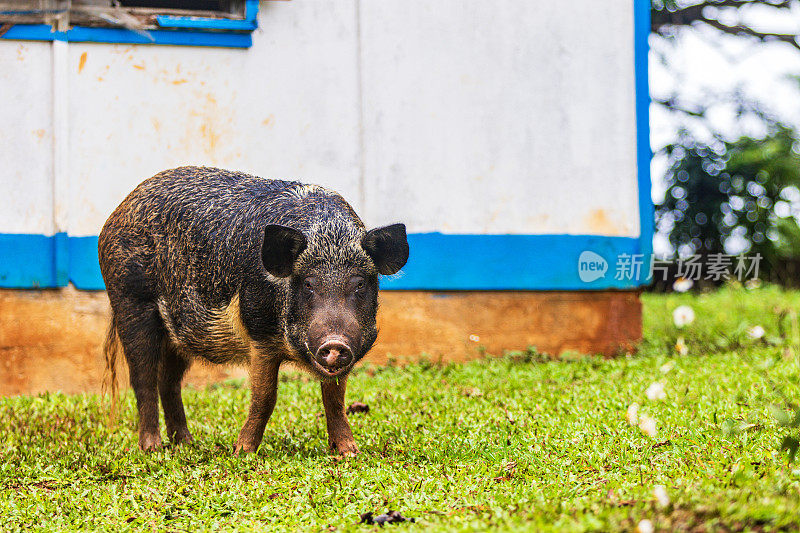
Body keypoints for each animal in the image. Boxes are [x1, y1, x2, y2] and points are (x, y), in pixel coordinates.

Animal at [99, 166, 410, 454]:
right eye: (308, 284)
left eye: (359, 284)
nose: (334, 343)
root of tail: (116, 214)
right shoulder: (258, 332)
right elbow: (264, 396)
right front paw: (243, 452)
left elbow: (334, 399)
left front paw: (347, 453)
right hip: (130, 301)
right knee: (143, 378)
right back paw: (152, 448)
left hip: (177, 333)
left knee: (169, 381)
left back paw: (187, 444)